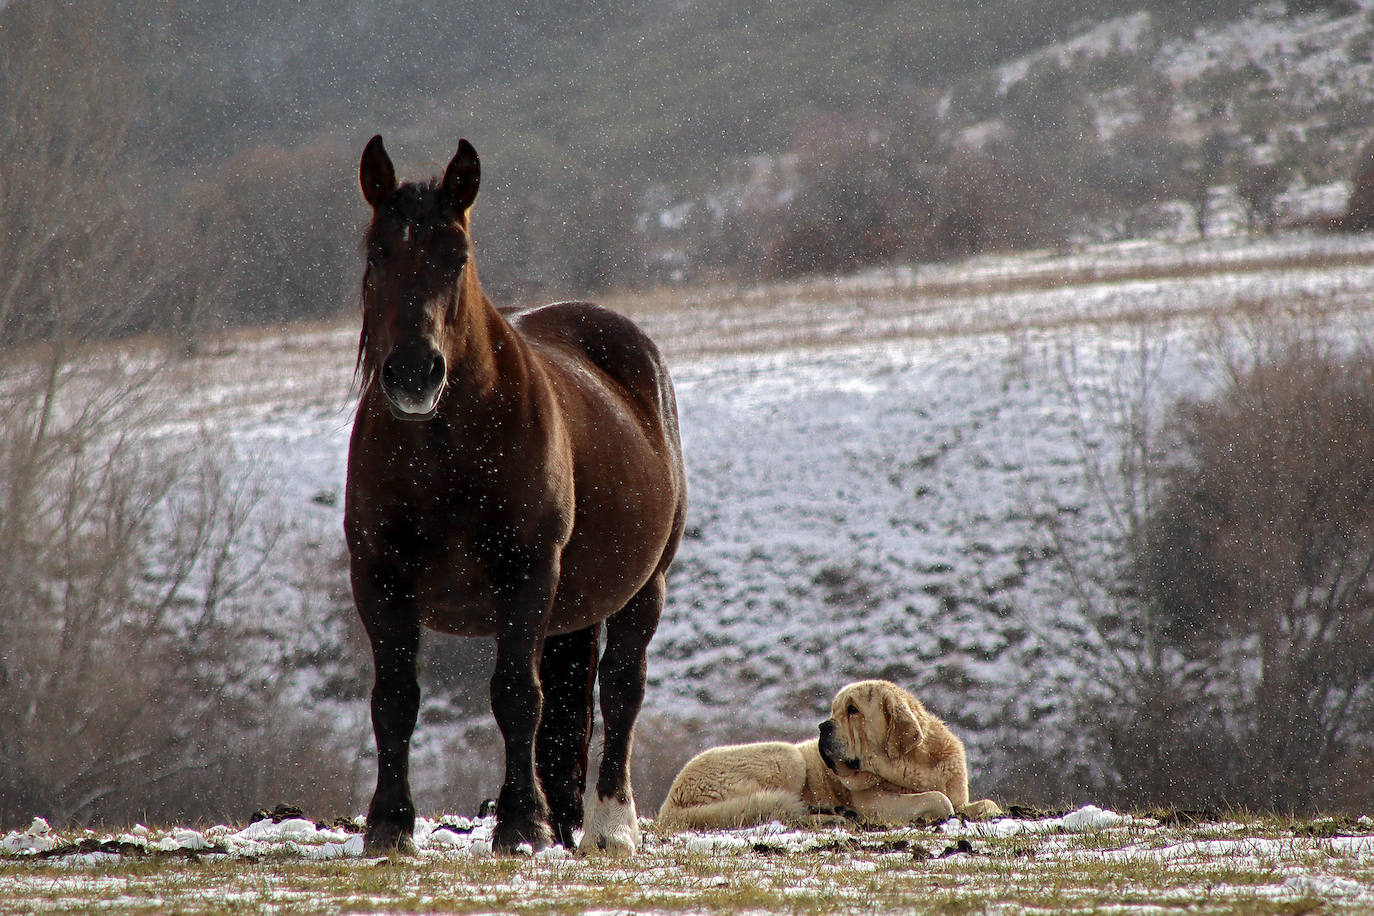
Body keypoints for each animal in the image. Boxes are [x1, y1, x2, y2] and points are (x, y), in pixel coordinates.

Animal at [343, 138, 687, 862]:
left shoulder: (525, 573)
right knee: (569, 706)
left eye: (458, 256)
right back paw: (568, 820)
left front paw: (521, 823)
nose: (413, 373)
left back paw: (609, 825)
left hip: (644, 587)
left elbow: (515, 696)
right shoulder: (379, 578)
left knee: (620, 689)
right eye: (377, 253)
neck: (443, 449)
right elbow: (395, 698)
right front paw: (389, 824)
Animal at [654, 681, 1000, 829]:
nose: (823, 726)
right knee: (782, 812)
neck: (916, 762)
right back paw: (833, 815)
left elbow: (982, 803)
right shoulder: (876, 803)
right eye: (835, 709)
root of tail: (670, 800)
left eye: (853, 710)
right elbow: (939, 800)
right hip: (788, 756)